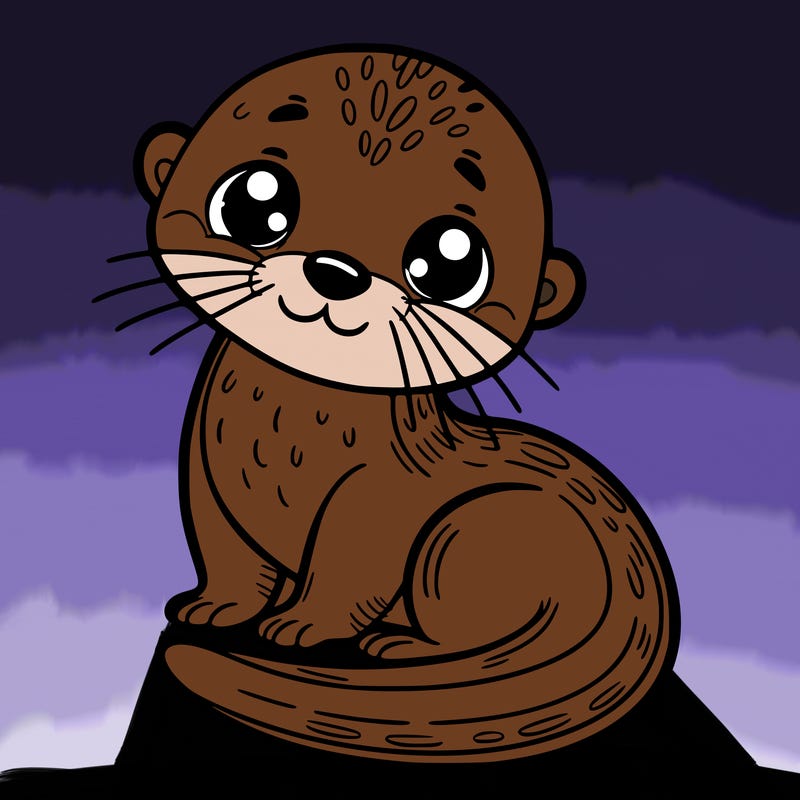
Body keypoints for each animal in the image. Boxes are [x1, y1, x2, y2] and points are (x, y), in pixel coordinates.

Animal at [127, 45, 679, 763]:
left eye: (450, 262)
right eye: (255, 200)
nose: (336, 270)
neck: (281, 436)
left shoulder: (378, 494)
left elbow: (350, 564)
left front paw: (301, 624)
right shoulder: (202, 466)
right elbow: (227, 553)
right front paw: (216, 609)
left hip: (470, 531)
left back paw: (401, 644)